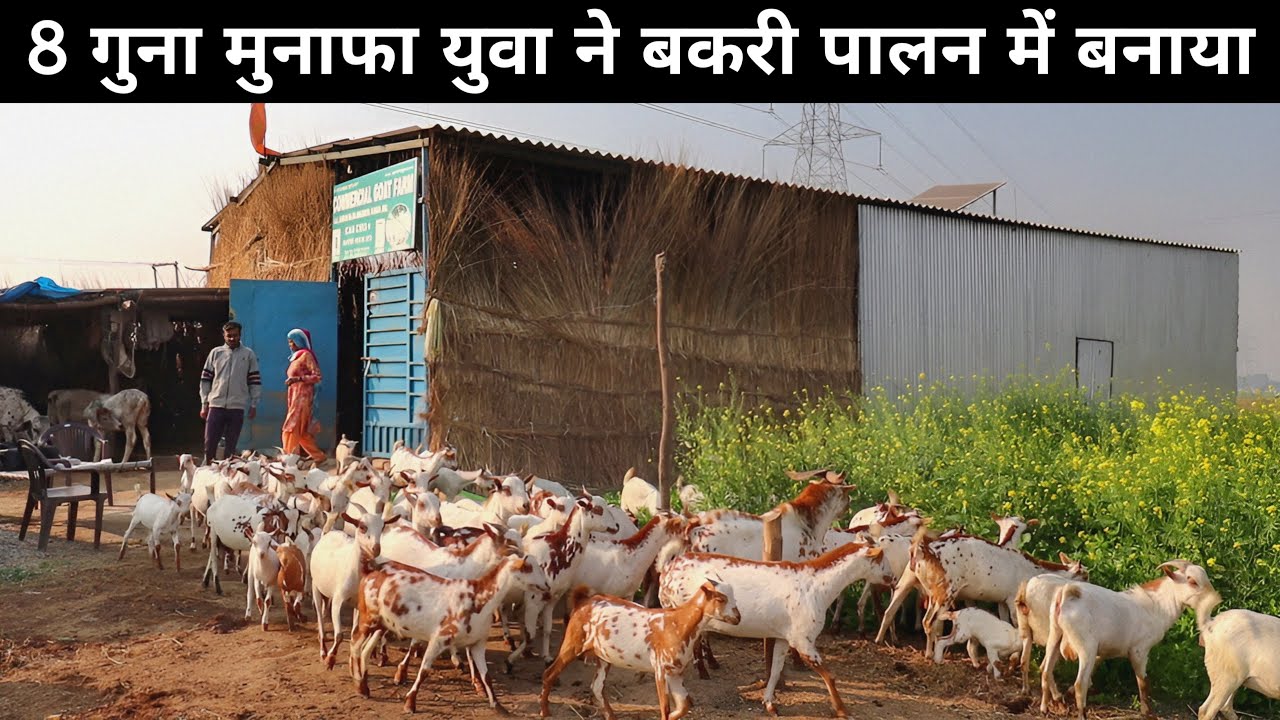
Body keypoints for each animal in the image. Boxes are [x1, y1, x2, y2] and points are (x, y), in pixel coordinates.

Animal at [540, 579, 741, 720]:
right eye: (720, 599)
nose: (737, 618)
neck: (678, 622)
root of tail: (584, 600)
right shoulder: (660, 669)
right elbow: (665, 707)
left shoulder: (675, 672)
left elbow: (684, 705)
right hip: (573, 643)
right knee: (549, 674)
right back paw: (544, 711)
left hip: (604, 657)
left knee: (596, 687)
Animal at [1038, 560, 1222, 719]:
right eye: (1192, 581)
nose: (1214, 599)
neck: (1157, 606)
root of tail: (1068, 593)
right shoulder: (1139, 650)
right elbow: (1143, 681)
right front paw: (1147, 712)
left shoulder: (1104, 650)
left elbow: (1097, 665)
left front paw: (1067, 693)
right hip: (1085, 647)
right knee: (1080, 683)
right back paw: (1081, 714)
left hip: (1055, 635)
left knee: (1046, 670)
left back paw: (1044, 708)